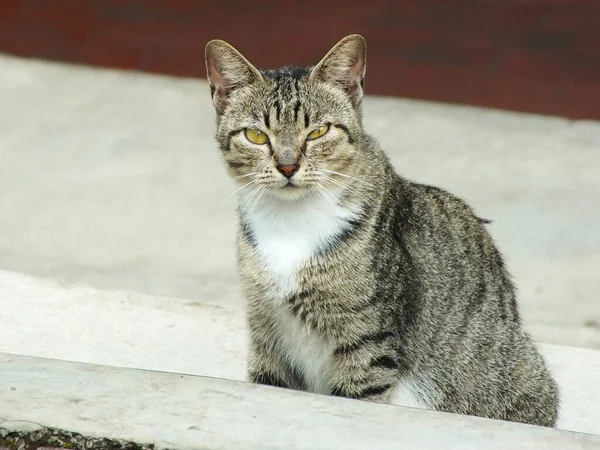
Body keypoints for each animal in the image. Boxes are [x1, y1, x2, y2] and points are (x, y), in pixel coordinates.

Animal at [205, 33, 556, 428]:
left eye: (319, 131)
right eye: (256, 135)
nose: (288, 165)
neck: (290, 222)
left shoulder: (368, 340)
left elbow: (356, 399)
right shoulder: (267, 330)